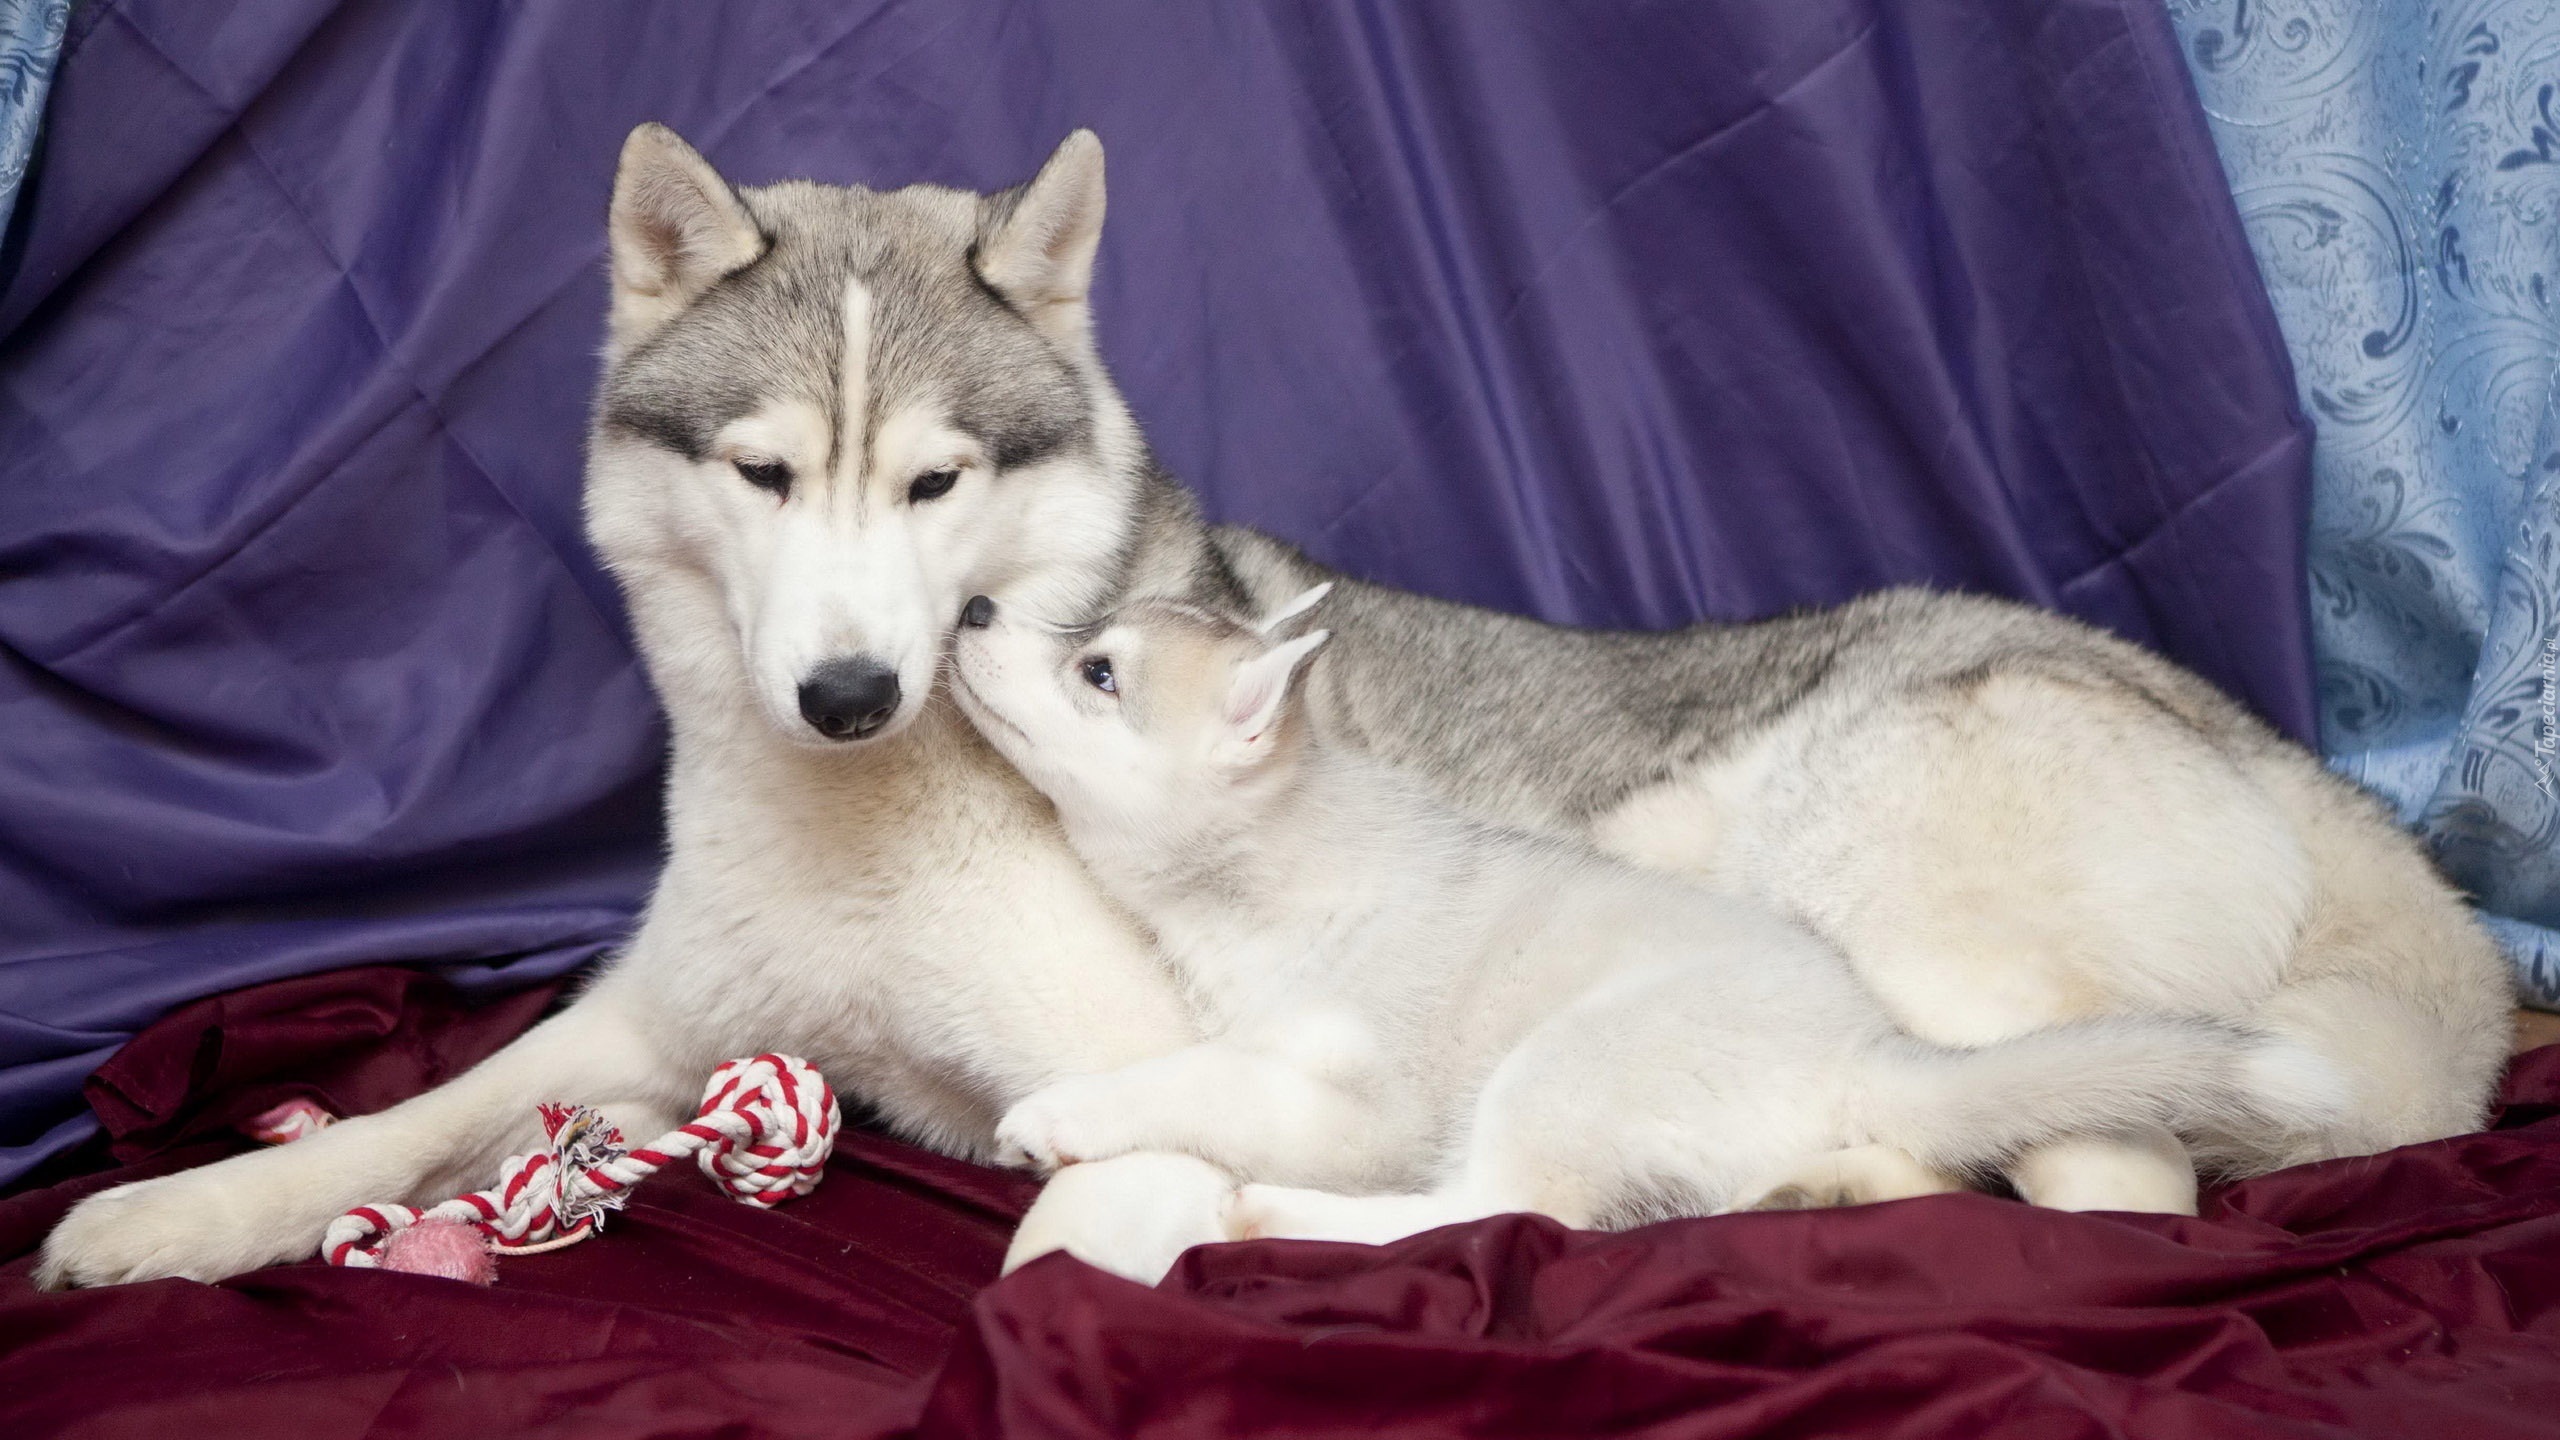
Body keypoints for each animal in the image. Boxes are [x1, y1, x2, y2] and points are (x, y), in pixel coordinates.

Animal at [947, 589, 2344, 1240]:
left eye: (1098, 672)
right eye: (1090, 636)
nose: (970, 610)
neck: (1275, 861)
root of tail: (1863, 1052)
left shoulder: (1356, 1097)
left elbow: (1199, 1084)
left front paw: (1064, 1118)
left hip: (1563, 1066)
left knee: (1505, 1212)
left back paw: (1280, 1217)